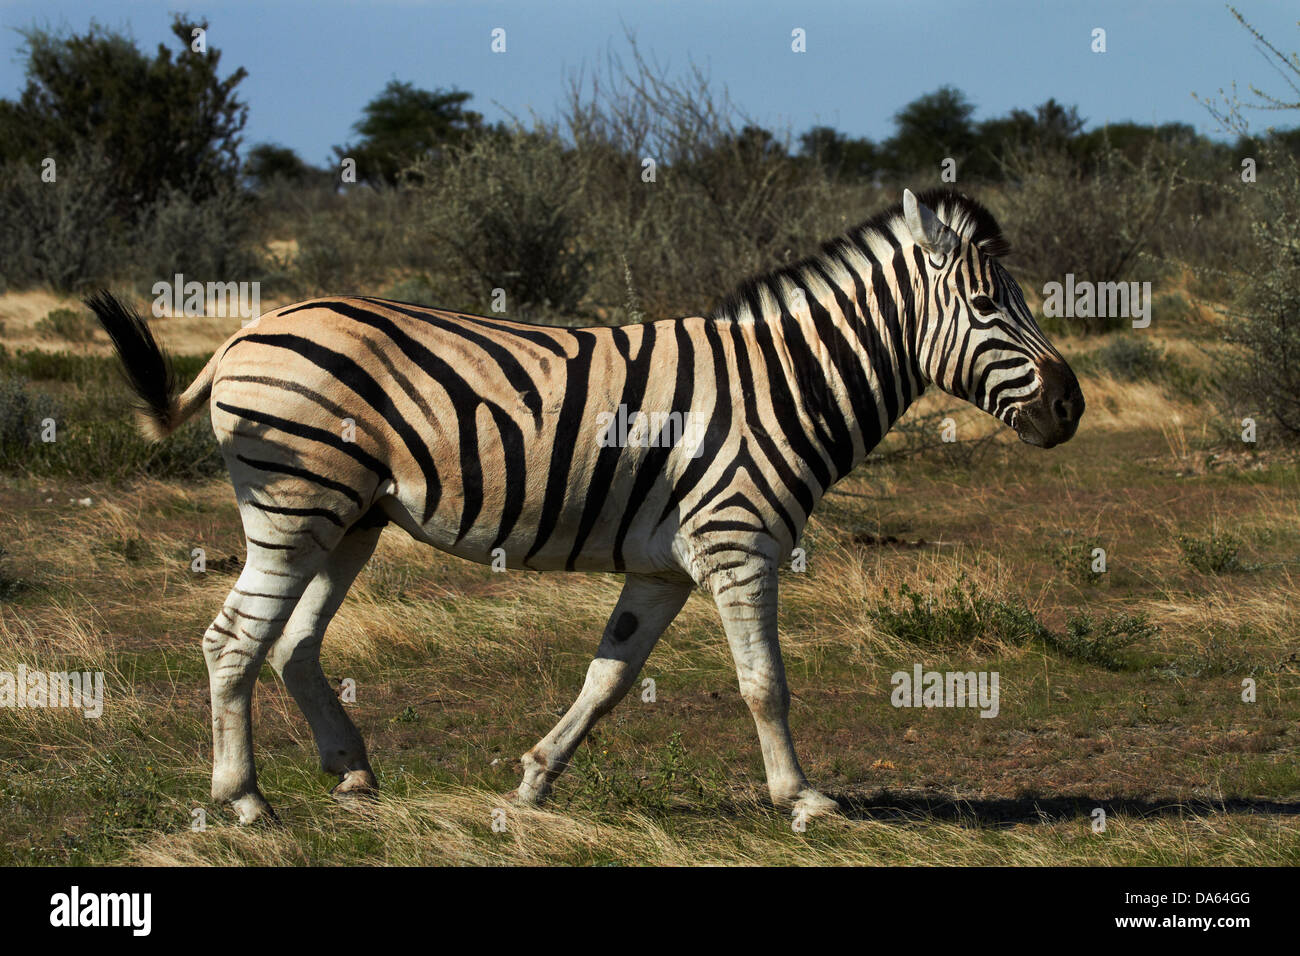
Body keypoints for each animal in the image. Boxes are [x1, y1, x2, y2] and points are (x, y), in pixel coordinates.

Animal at [91, 184, 1081, 822]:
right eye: (989, 307)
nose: (1071, 406)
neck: (781, 386)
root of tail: (245, 332)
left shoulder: (667, 568)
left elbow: (607, 679)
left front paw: (534, 780)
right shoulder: (739, 543)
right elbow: (765, 684)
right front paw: (802, 800)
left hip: (351, 518)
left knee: (293, 643)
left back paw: (352, 773)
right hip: (296, 509)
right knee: (232, 641)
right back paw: (244, 800)